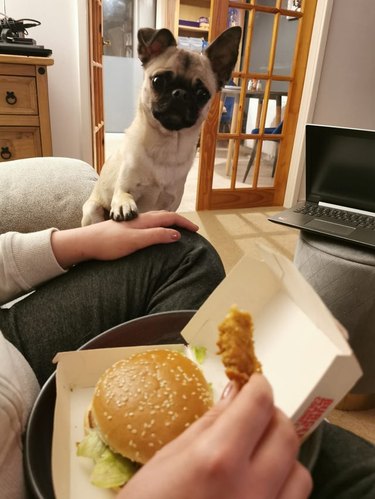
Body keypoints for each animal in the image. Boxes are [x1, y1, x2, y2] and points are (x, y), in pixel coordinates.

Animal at [81, 25, 242, 225]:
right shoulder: (125, 186)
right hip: (92, 210)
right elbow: (123, 194)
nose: (180, 93)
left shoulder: (170, 205)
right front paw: (124, 205)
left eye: (202, 94)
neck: (167, 144)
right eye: (158, 81)